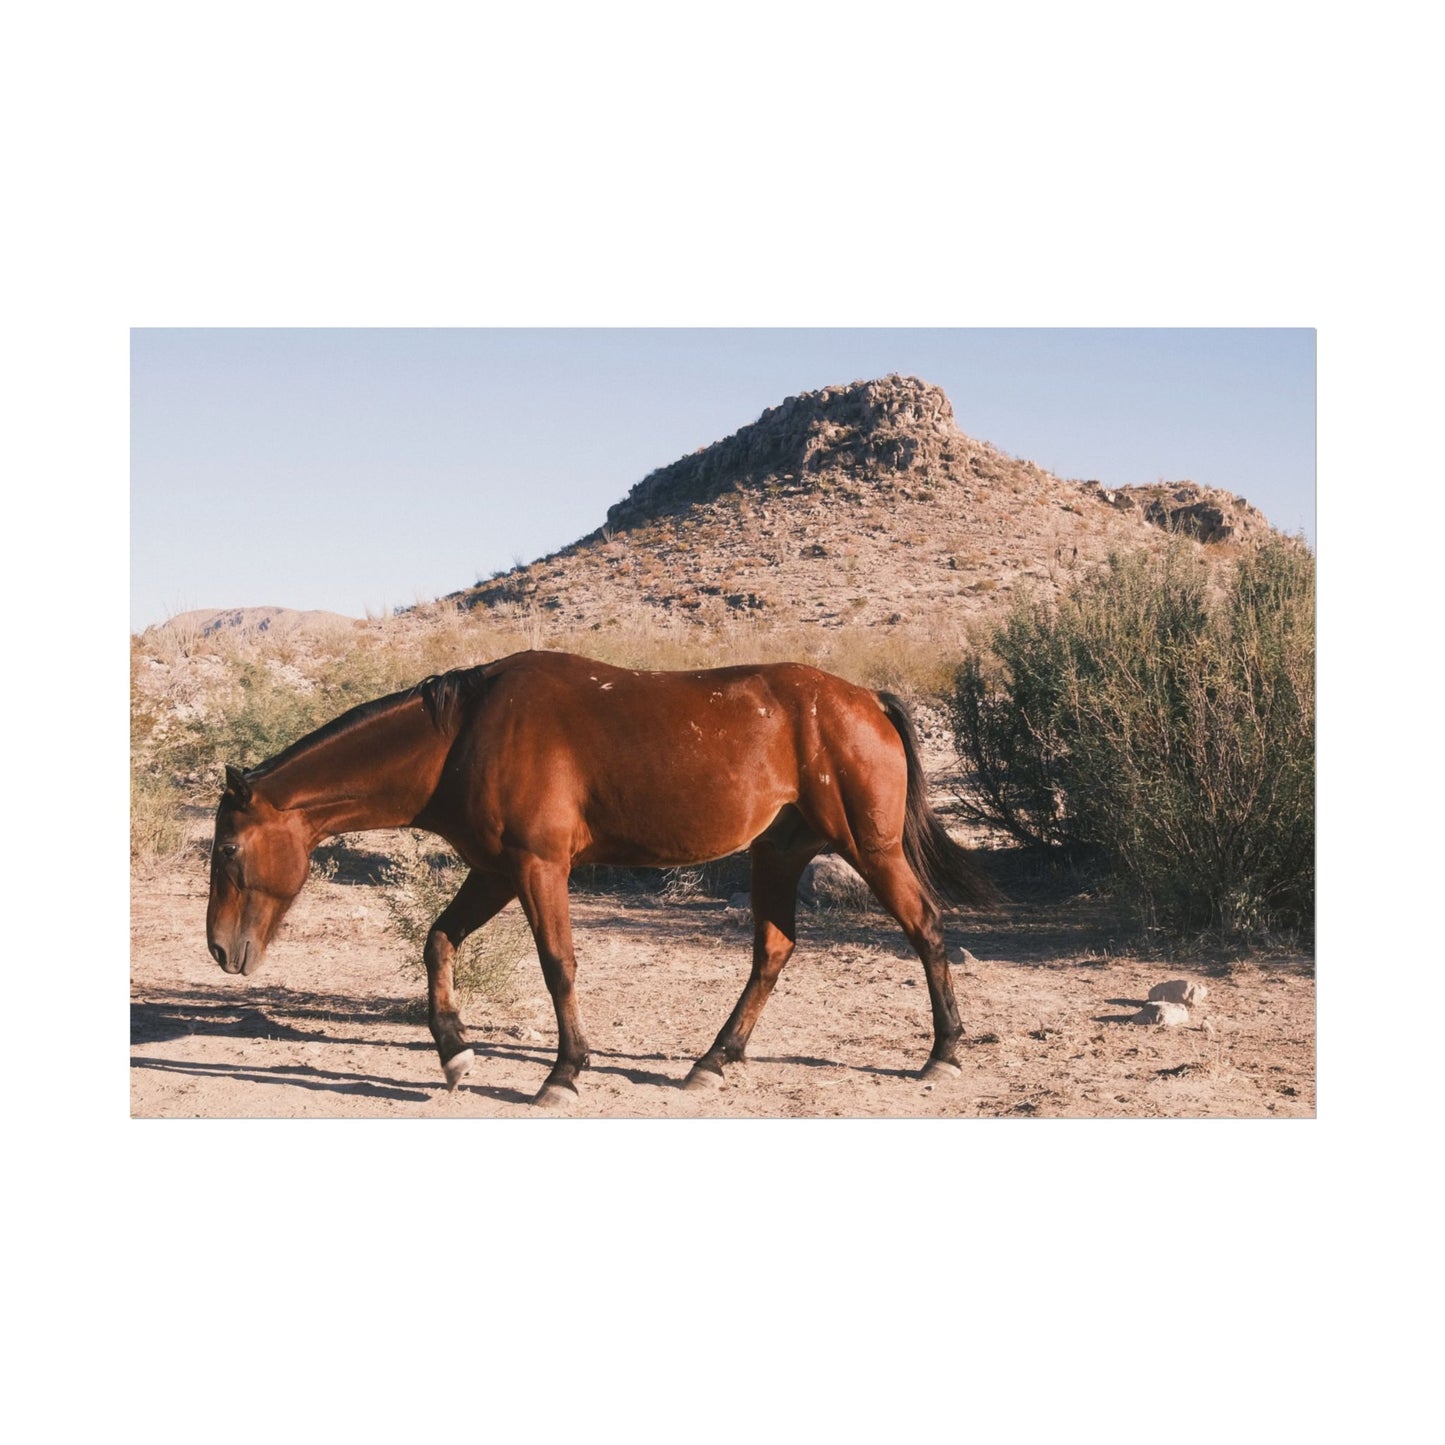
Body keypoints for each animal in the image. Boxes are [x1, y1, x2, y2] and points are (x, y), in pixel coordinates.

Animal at [205, 649, 997, 1105]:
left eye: (230, 851)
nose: (219, 949)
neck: (465, 734)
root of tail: (866, 699)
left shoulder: (536, 867)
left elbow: (558, 965)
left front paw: (563, 1073)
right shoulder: (495, 871)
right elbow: (436, 942)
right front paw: (456, 1055)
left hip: (870, 848)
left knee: (925, 927)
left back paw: (943, 1053)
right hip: (777, 855)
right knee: (772, 952)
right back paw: (713, 1060)